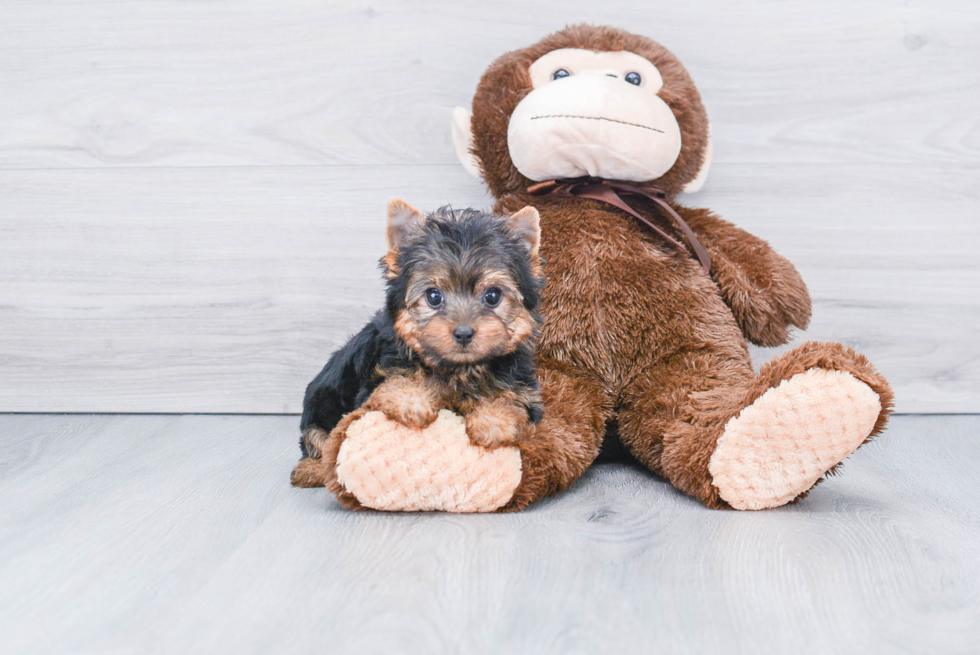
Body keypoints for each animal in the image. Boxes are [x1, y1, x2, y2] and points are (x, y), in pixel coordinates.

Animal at [294, 201, 548, 472]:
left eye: (492, 296)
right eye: (433, 296)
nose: (463, 332)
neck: (461, 369)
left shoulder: (525, 391)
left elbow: (513, 403)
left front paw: (493, 421)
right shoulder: (380, 373)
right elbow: (396, 381)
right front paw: (411, 401)